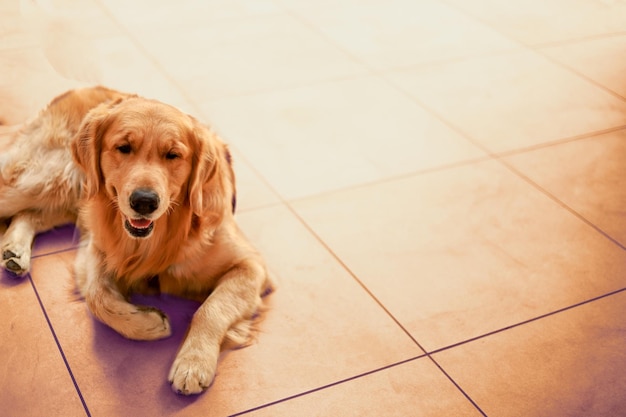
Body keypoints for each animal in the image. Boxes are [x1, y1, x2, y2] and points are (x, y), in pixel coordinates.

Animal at [0, 87, 272, 394]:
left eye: (173, 155)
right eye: (124, 147)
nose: (144, 202)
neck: (164, 236)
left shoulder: (250, 266)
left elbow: (210, 308)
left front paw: (193, 363)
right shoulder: (98, 247)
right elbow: (97, 296)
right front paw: (149, 324)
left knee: (29, 214)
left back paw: (15, 251)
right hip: (41, 181)